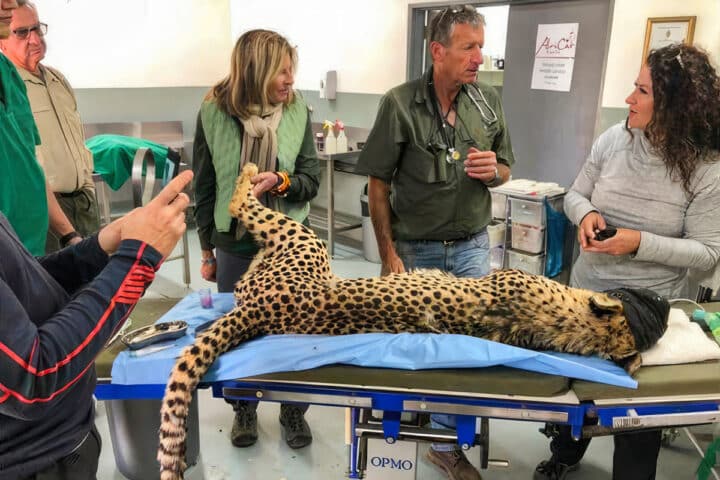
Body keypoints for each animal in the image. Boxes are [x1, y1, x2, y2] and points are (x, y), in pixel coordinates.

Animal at [158, 163, 668, 478]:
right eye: (634, 299)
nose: (660, 302)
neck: (570, 327)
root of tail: (255, 310)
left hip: (302, 240)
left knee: (239, 206)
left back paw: (252, 174)